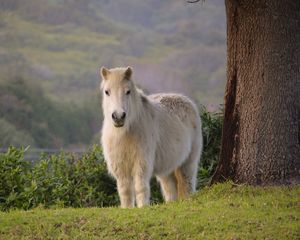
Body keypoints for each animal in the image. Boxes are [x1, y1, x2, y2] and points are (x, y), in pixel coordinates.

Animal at [99, 66, 203, 207]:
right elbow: (125, 191)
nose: (118, 116)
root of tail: (188, 101)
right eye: (107, 92)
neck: (125, 133)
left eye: (128, 91)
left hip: (188, 162)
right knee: (170, 189)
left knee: (187, 184)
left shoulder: (141, 163)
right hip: (167, 169)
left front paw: (143, 207)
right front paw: (127, 208)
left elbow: (140, 187)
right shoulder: (120, 167)